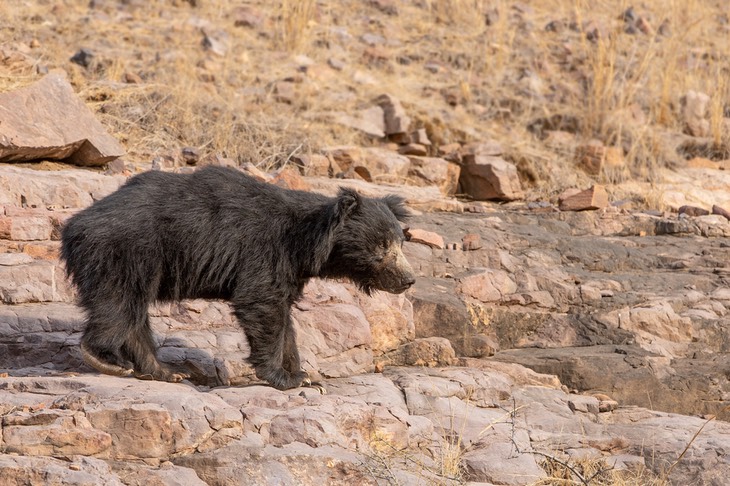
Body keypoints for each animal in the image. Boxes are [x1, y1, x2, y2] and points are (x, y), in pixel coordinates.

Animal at [61, 167, 416, 392]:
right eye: (382, 246)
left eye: (401, 241)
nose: (409, 279)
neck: (306, 242)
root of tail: (74, 224)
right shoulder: (263, 251)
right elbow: (261, 303)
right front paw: (284, 378)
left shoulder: (290, 269)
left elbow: (283, 317)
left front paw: (304, 376)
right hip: (125, 251)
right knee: (118, 303)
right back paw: (105, 358)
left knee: (134, 313)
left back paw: (165, 371)